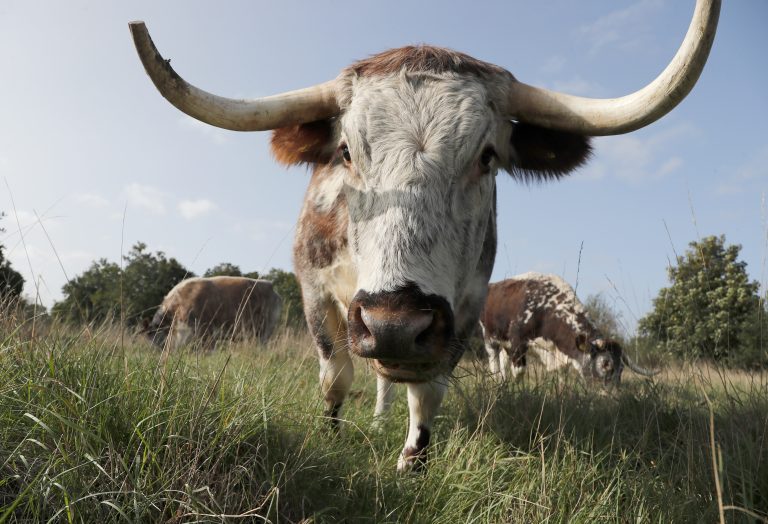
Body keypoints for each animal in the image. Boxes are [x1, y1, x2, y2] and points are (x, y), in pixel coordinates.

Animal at [480, 274, 656, 384]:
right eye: (605, 365)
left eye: (621, 370)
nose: (613, 397)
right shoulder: (518, 343)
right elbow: (519, 372)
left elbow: (560, 376)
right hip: (489, 338)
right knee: (494, 363)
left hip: (505, 344)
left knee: (503, 362)